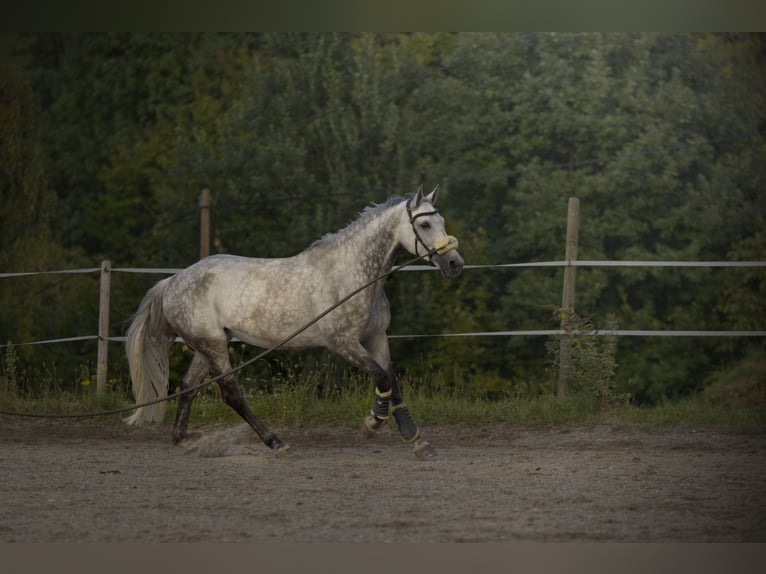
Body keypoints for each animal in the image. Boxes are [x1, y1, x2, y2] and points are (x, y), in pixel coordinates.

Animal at [123, 185, 464, 457]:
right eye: (424, 223)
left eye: (442, 221)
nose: (454, 263)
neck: (353, 275)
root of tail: (175, 280)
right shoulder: (343, 343)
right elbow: (381, 378)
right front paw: (371, 424)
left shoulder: (376, 338)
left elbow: (392, 383)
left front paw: (416, 440)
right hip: (214, 346)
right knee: (231, 394)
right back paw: (276, 443)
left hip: (207, 345)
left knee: (188, 386)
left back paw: (184, 440)